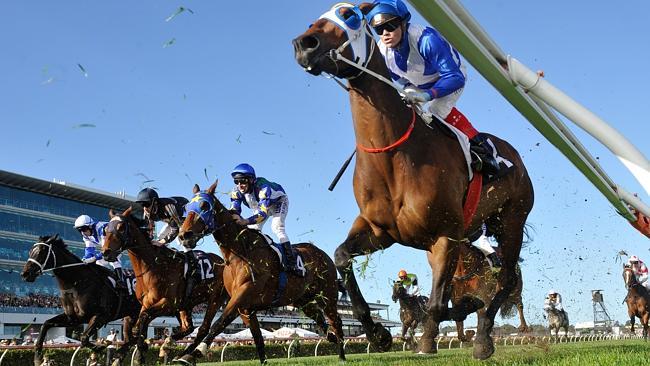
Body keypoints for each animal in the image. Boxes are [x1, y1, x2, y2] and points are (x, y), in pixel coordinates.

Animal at [21, 234, 140, 366]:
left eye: (42, 251)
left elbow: (84, 338)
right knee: (133, 338)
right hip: (130, 316)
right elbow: (45, 324)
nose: (25, 274)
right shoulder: (73, 318)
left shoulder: (101, 316)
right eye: (30, 251)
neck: (77, 283)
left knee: (136, 338)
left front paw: (102, 345)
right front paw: (37, 357)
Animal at [102, 209, 229, 366]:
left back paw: (183, 355)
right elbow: (139, 326)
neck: (153, 268)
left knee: (203, 328)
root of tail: (223, 261)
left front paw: (139, 355)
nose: (106, 252)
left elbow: (142, 321)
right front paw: (126, 354)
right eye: (106, 229)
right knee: (188, 327)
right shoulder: (145, 304)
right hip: (185, 305)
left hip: (215, 299)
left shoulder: (168, 304)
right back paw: (171, 347)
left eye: (121, 227)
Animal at [294, 2, 532, 358]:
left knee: (504, 280)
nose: (304, 44)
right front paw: (377, 333)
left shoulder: (447, 234)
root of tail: (513, 154)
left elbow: (436, 303)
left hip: (512, 220)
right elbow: (341, 257)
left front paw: (427, 340)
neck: (394, 157)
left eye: (349, 15)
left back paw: (483, 339)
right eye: (314, 20)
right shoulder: (379, 230)